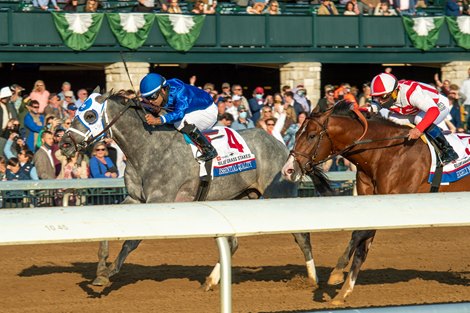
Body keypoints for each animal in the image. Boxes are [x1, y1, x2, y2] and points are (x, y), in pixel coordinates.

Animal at [60, 90, 320, 290]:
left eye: (90, 115)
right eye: (75, 112)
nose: (63, 144)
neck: (147, 147)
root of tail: (286, 148)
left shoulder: (158, 201)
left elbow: (131, 241)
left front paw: (107, 273)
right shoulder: (136, 199)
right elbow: (109, 228)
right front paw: (101, 266)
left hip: (280, 194)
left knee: (302, 236)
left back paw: (312, 280)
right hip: (240, 196)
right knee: (233, 243)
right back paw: (211, 281)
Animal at [280, 100, 468, 304]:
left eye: (312, 135)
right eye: (295, 134)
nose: (287, 170)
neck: (384, 152)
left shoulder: (394, 201)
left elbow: (359, 235)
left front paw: (337, 273)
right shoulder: (371, 201)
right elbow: (361, 248)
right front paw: (342, 293)